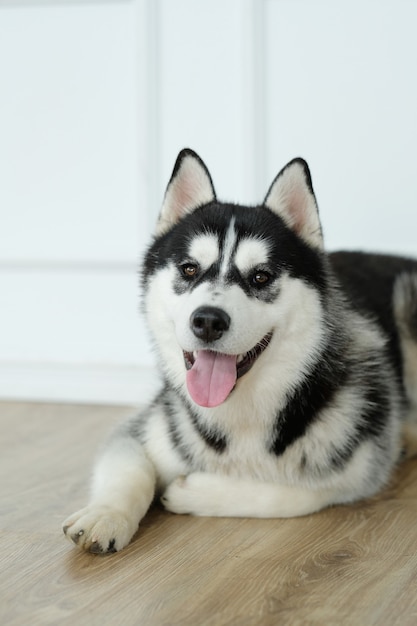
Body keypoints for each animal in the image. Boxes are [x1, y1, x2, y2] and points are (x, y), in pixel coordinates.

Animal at [63, 147, 416, 552]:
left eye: (261, 276)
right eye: (189, 269)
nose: (208, 321)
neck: (241, 410)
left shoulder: (359, 467)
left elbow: (291, 493)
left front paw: (192, 491)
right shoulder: (139, 431)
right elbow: (129, 469)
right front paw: (106, 514)